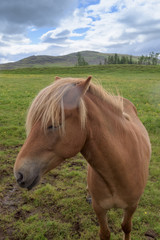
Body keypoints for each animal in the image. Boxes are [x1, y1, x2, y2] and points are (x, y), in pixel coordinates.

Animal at [14, 76, 151, 239]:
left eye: (54, 124)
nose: (19, 174)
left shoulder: (132, 206)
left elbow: (126, 227)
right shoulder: (99, 208)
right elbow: (105, 233)